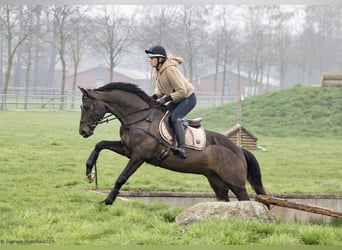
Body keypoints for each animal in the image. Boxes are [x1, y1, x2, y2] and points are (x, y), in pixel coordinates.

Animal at [78, 82, 268, 205]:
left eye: (86, 107)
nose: (83, 132)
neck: (140, 118)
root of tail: (240, 150)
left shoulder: (139, 155)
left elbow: (121, 178)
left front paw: (108, 200)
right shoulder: (127, 149)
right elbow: (100, 144)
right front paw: (89, 172)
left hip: (236, 183)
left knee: (245, 200)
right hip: (217, 182)